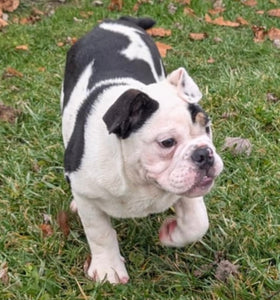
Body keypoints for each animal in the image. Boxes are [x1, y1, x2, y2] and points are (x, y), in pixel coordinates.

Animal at [60, 16, 223, 284]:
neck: (138, 179)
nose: (204, 154)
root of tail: (114, 21)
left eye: (206, 127)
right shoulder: (89, 198)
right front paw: (108, 269)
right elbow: (100, 234)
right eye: (167, 142)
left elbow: (197, 222)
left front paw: (172, 234)